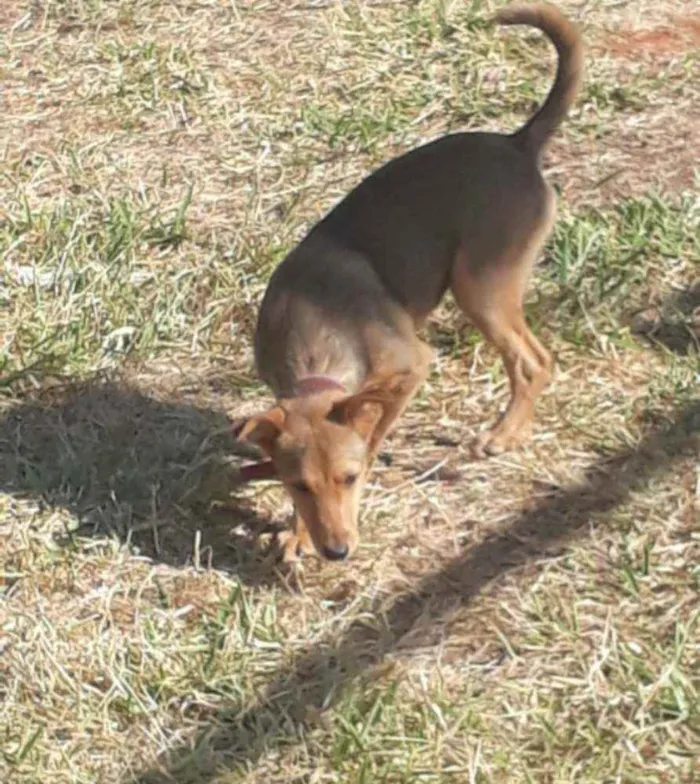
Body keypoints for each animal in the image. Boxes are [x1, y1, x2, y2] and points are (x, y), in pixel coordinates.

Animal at [238, 3, 584, 560]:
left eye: (350, 478)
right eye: (298, 485)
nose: (337, 551)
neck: (318, 340)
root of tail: (518, 144)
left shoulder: (412, 366)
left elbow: (374, 433)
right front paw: (297, 530)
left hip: (480, 286)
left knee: (533, 361)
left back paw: (504, 435)